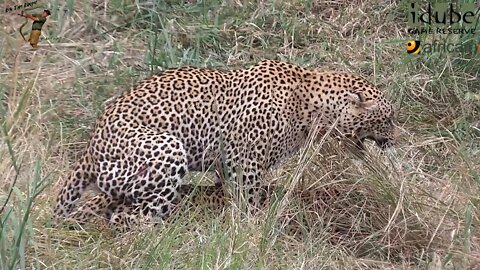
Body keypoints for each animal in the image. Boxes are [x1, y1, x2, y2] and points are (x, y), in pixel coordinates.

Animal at [53, 59, 398, 230]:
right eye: (389, 119)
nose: (395, 140)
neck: (311, 107)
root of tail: (90, 150)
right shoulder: (245, 161)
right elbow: (249, 200)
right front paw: (254, 227)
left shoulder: (227, 164)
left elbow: (231, 192)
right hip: (167, 149)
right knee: (128, 216)